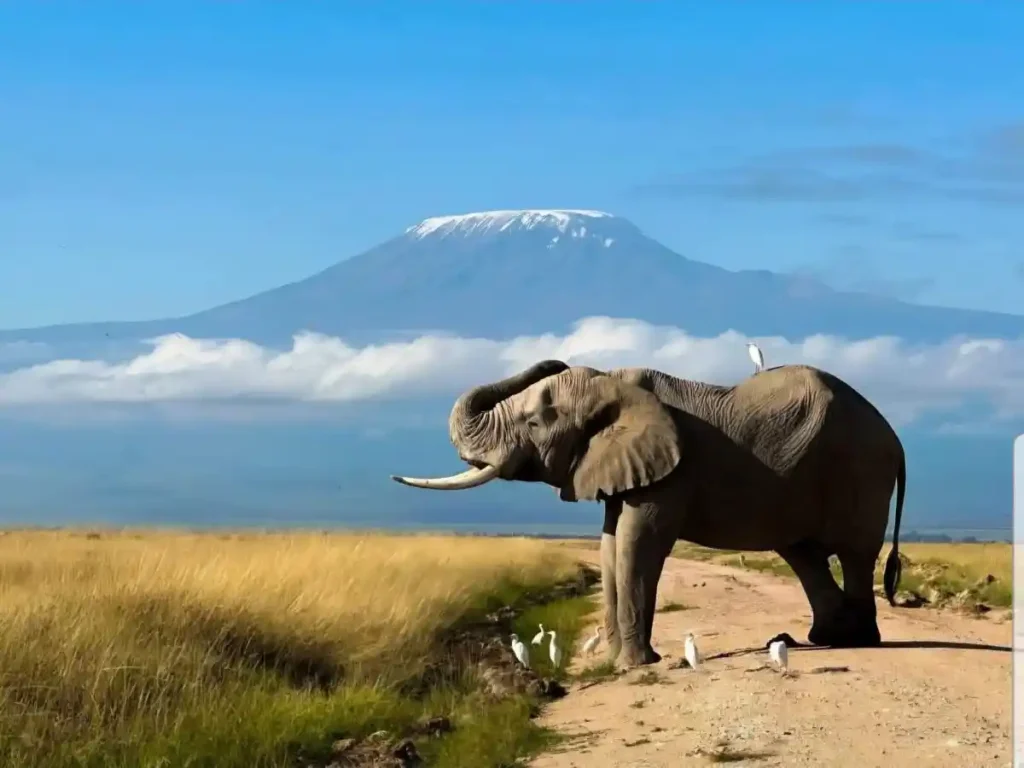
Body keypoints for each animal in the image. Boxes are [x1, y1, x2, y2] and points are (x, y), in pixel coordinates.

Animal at [391, 359, 905, 669]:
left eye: (533, 423)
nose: (555, 361)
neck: (611, 383)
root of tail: (896, 440)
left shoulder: (671, 470)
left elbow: (640, 541)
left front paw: (636, 665)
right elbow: (609, 544)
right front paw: (616, 662)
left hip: (861, 471)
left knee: (853, 553)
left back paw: (858, 641)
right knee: (802, 553)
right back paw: (826, 638)